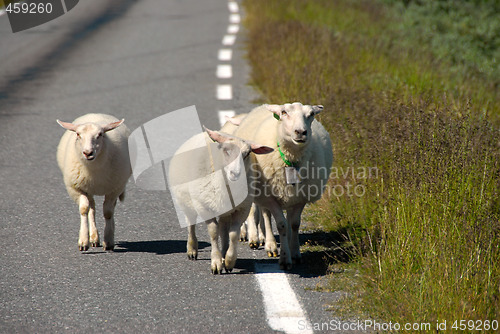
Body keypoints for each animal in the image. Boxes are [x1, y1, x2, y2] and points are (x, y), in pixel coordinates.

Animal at [56, 113, 132, 252]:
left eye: (100, 134)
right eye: (78, 134)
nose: (88, 153)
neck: (94, 169)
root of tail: (95, 115)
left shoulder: (115, 188)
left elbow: (108, 212)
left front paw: (108, 240)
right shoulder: (76, 188)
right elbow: (84, 209)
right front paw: (83, 241)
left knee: (109, 207)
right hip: (88, 188)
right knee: (92, 208)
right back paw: (93, 238)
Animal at [170, 128, 276, 274]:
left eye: (247, 154)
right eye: (226, 150)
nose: (235, 173)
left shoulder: (242, 208)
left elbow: (233, 234)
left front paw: (229, 261)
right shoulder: (204, 208)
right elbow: (213, 233)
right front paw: (216, 263)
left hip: (225, 210)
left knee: (223, 228)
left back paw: (224, 253)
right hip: (186, 201)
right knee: (191, 223)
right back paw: (192, 250)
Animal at [233, 103, 332, 270]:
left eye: (311, 114)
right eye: (284, 113)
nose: (301, 132)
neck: (291, 159)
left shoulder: (300, 197)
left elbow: (294, 224)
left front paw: (295, 253)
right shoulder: (271, 197)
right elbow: (281, 225)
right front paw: (285, 259)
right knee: (265, 215)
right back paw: (268, 244)